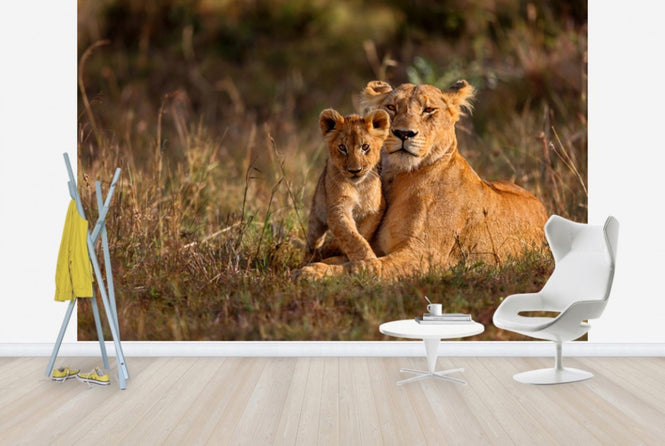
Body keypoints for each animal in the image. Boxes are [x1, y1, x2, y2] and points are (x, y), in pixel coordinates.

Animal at [306, 108, 390, 262]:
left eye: (365, 147)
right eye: (342, 147)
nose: (355, 171)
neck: (358, 187)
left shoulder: (377, 208)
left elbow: (362, 233)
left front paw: (337, 247)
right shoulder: (337, 208)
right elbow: (352, 237)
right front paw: (369, 261)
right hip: (316, 217)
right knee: (312, 243)